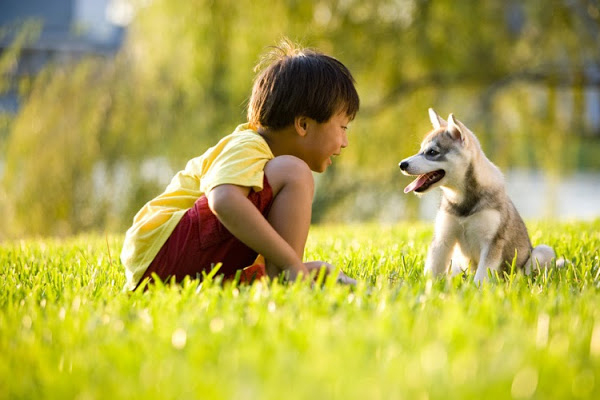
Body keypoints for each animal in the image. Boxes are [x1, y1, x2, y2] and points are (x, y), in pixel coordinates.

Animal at [400, 108, 556, 282]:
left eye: (432, 152)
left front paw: (476, 287)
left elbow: (481, 276)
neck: (462, 199)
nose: (402, 164)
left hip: (543, 252)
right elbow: (432, 269)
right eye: (420, 150)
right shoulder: (443, 238)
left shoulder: (491, 243)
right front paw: (426, 286)